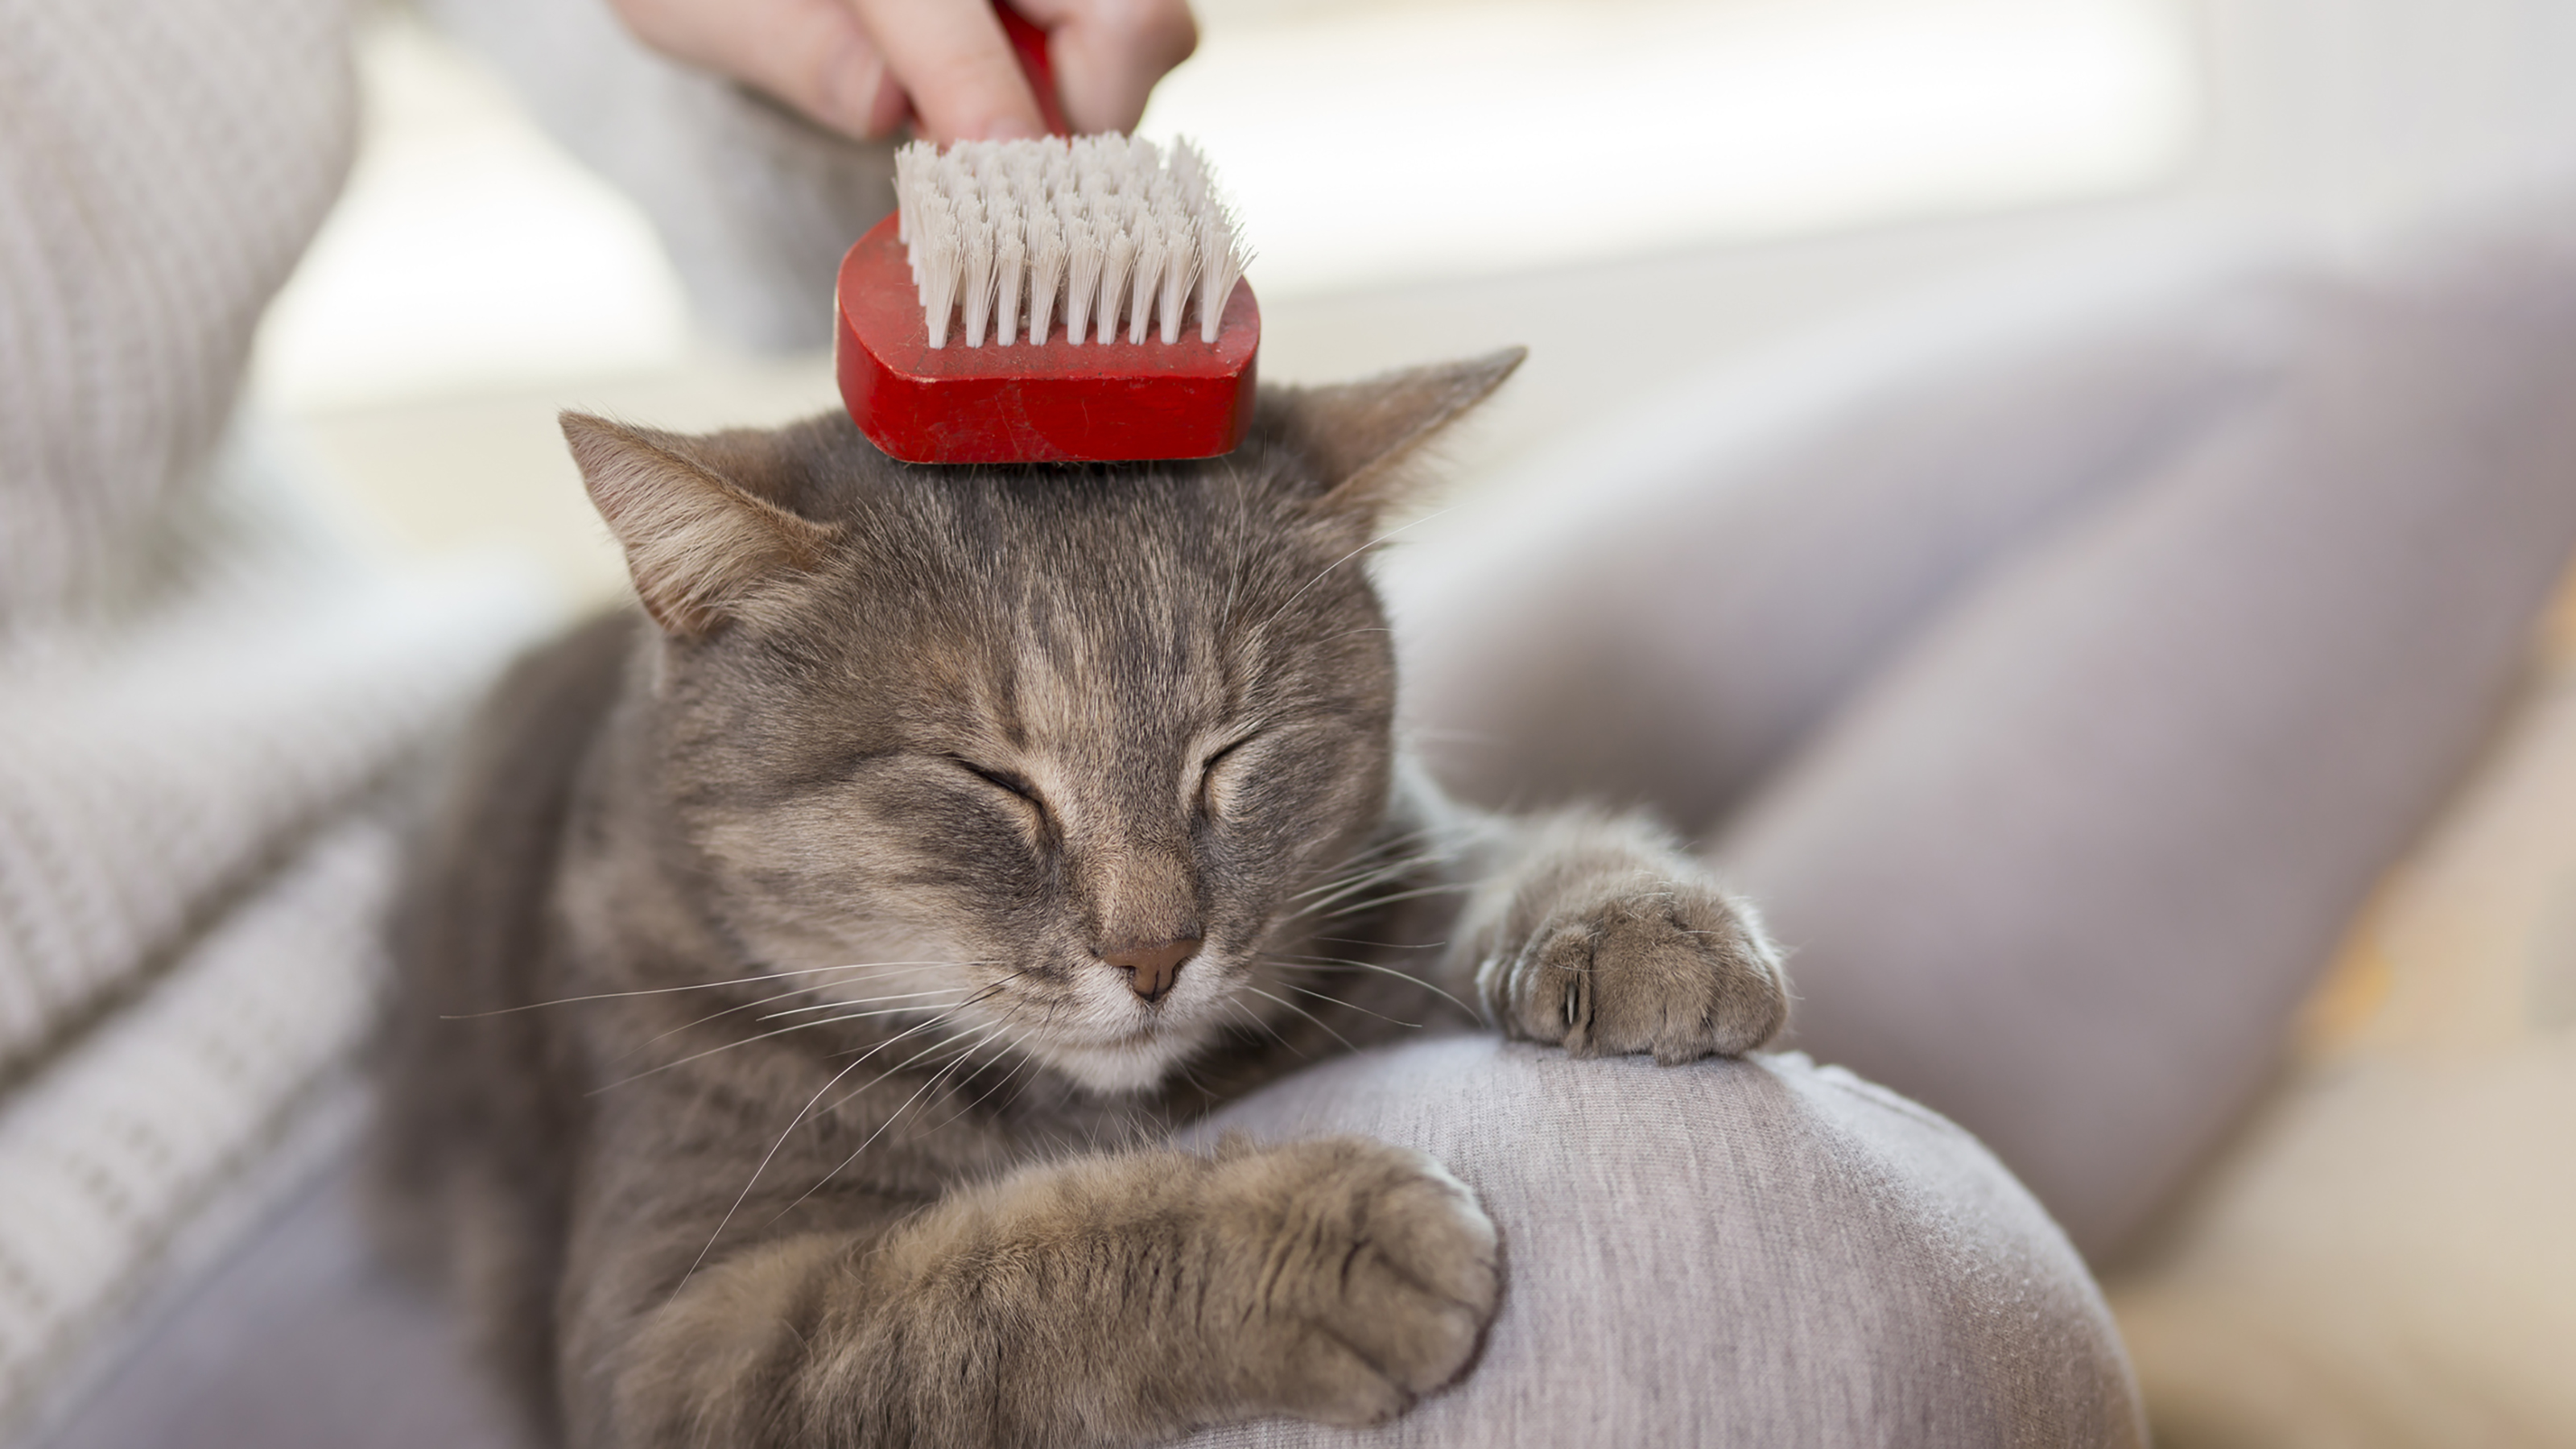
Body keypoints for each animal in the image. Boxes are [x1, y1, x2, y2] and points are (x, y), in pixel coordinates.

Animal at [386, 350, 1793, 1443]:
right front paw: (1318, 1239)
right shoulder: (680, 1339)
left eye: (1232, 751)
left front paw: (1645, 924)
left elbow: (1525, 848)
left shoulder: (1395, 868)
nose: (1158, 949)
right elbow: (981, 1284)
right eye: (991, 780)